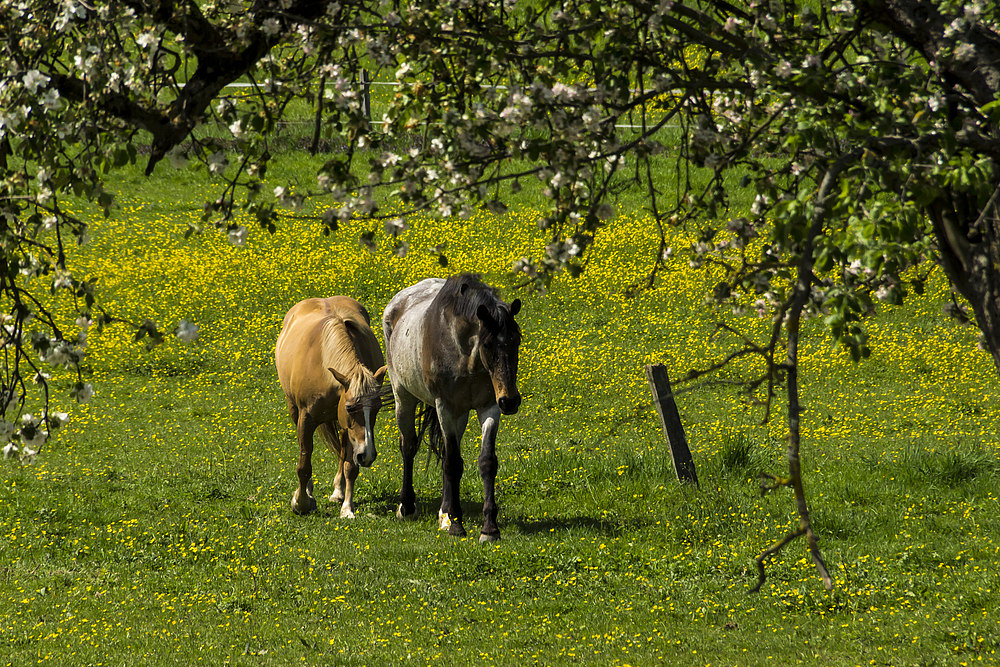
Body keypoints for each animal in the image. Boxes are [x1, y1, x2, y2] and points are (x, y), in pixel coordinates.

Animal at [276, 296, 388, 516]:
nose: (368, 455)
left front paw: (347, 508)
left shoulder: (350, 429)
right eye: (350, 408)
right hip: (295, 411)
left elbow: (351, 466)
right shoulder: (306, 418)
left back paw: (339, 491)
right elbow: (304, 464)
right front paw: (301, 502)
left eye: (378, 408)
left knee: (344, 456)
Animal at [382, 274, 524, 540]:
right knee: (409, 446)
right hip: (403, 397)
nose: (510, 401)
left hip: (461, 414)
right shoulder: (444, 407)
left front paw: (489, 528)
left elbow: (486, 462)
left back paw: (444, 513)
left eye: (517, 341)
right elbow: (453, 463)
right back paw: (407, 506)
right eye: (487, 345)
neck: (463, 354)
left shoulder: (489, 407)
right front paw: (457, 525)